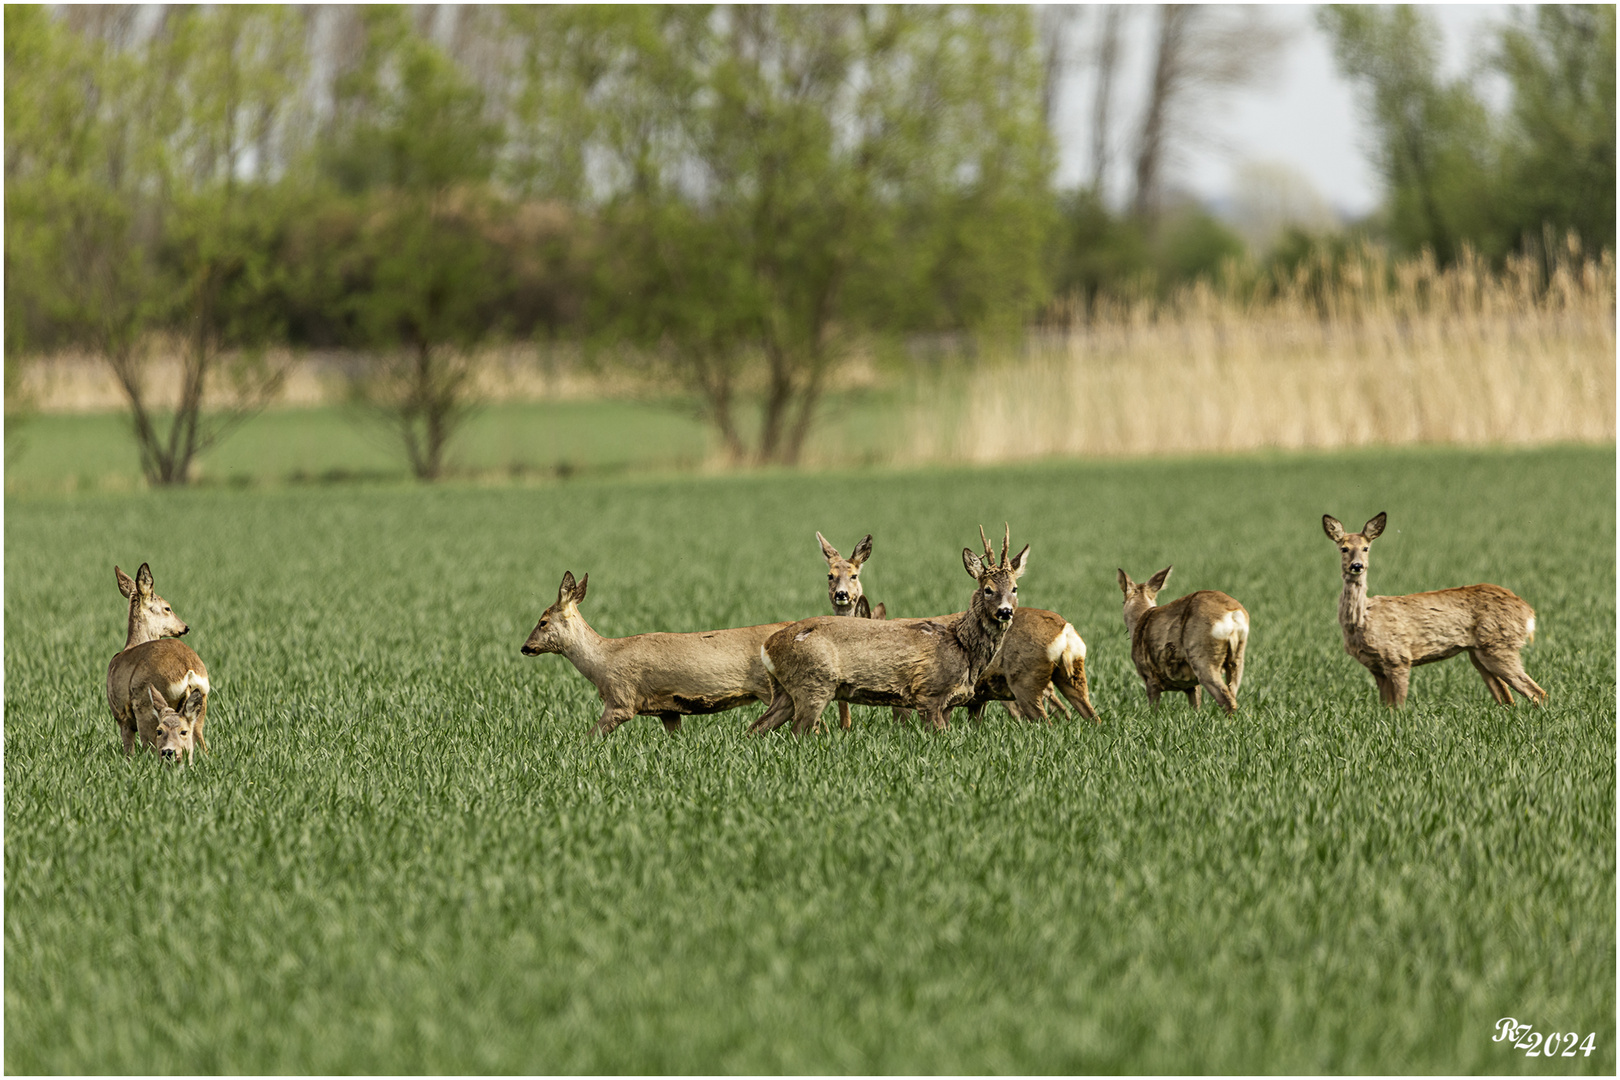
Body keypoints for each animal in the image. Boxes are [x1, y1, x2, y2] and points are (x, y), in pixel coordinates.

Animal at [106, 566, 212, 761]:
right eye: (167, 608)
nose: (185, 627)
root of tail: (188, 670)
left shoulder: (121, 716)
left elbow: (129, 751)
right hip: (200, 703)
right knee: (202, 747)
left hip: (147, 708)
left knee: (151, 748)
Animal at [518, 569, 790, 738]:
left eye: (542, 622)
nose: (525, 647)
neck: (602, 662)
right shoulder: (668, 709)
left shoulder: (621, 699)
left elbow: (590, 737)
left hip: (770, 686)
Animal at [745, 524, 1023, 735]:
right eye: (987, 589)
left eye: (1015, 588)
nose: (1005, 611)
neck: (962, 647)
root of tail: (767, 646)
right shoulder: (929, 693)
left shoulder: (948, 702)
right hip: (813, 684)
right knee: (797, 732)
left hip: (784, 690)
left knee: (755, 730)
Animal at [1114, 569, 1250, 712]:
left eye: (1122, 602)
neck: (1140, 619)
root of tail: (1233, 614)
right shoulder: (1191, 685)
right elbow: (1196, 707)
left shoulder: (1150, 677)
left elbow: (1153, 710)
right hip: (1237, 657)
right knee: (1232, 694)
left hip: (1203, 657)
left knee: (1226, 700)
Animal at [1321, 514, 1548, 709]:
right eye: (1344, 548)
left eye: (1366, 548)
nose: (1357, 566)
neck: (1361, 621)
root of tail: (1528, 612)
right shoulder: (1376, 667)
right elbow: (1385, 709)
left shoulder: (1399, 658)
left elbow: (1398, 708)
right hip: (1480, 653)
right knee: (1508, 700)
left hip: (1500, 646)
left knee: (1537, 692)